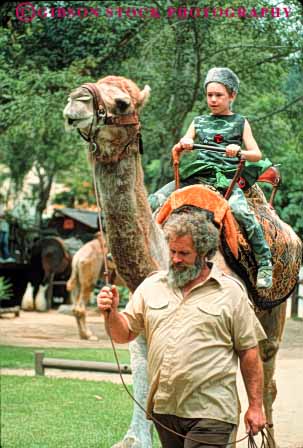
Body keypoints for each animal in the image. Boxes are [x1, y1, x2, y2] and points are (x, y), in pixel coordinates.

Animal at [63, 75, 302, 446]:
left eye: (122, 103)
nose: (76, 100)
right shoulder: (141, 333)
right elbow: (142, 395)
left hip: (274, 310)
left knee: (267, 378)